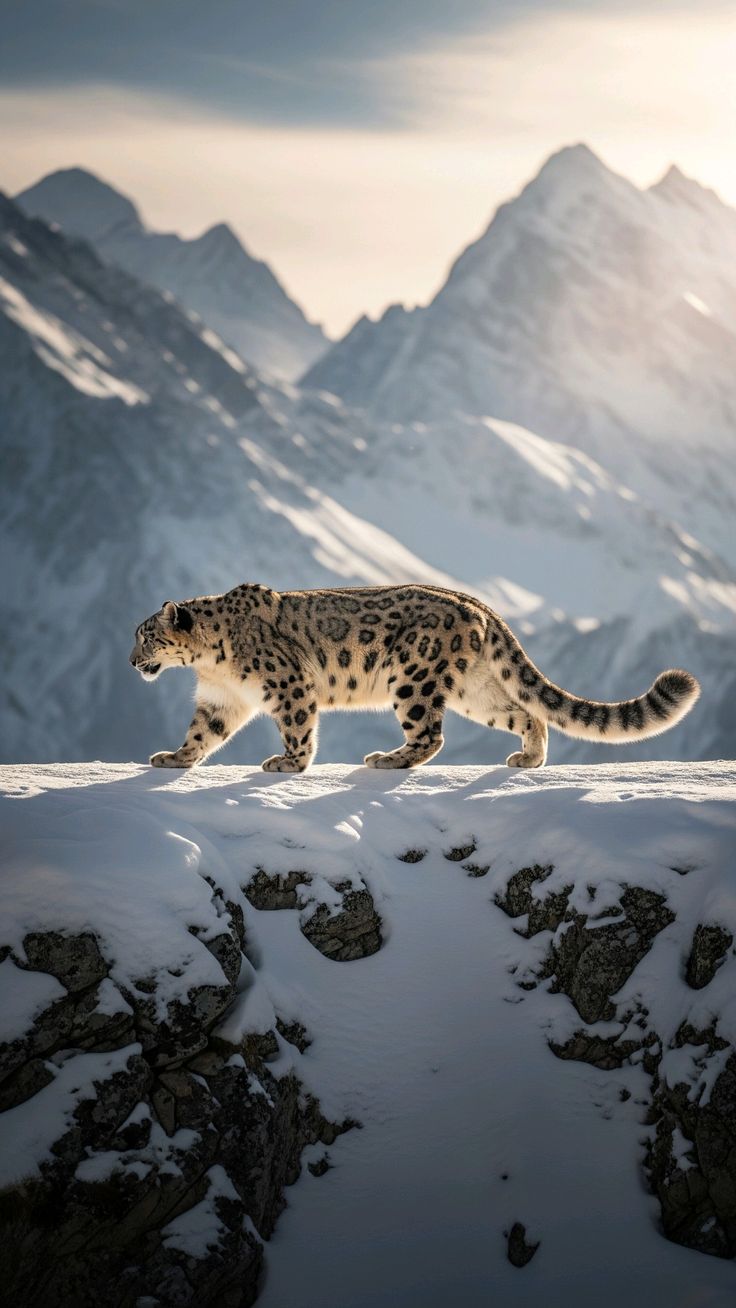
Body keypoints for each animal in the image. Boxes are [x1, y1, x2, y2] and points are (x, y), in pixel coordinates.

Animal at [130, 582, 700, 771]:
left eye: (146, 635)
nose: (132, 662)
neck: (211, 663)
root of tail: (475, 602)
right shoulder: (220, 698)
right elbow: (202, 733)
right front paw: (173, 758)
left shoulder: (289, 685)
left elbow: (297, 728)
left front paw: (288, 764)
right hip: (475, 690)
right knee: (527, 712)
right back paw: (528, 758)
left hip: (413, 677)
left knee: (430, 734)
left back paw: (388, 758)